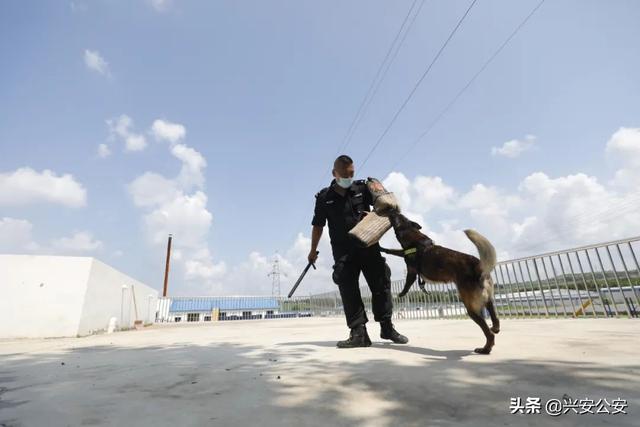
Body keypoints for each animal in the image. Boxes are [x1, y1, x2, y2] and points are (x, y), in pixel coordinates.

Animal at [380, 211, 500, 354]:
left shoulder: (411, 271)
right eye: (402, 217)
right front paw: (382, 248)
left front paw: (401, 294)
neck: (416, 238)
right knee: (494, 316)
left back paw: (485, 349)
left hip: (471, 307)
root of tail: (478, 266)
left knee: (489, 333)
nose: (393, 211)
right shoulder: (404, 254)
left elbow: (406, 283)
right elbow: (394, 251)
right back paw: (495, 328)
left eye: (397, 219)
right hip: (487, 297)